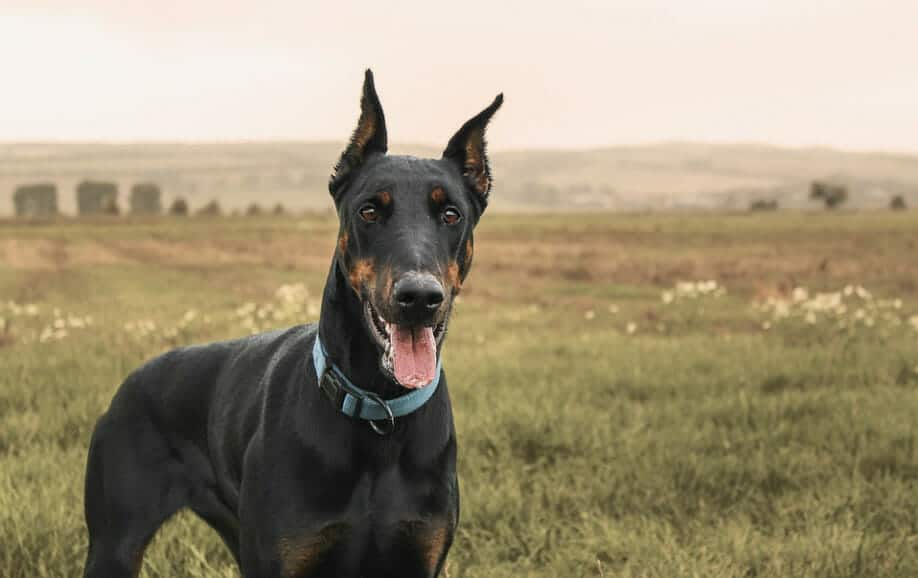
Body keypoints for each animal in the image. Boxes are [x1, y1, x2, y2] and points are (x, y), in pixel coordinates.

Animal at [81, 71, 504, 576]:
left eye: (451, 214)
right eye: (369, 210)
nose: (419, 297)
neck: (379, 414)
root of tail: (131, 382)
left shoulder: (419, 556)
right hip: (115, 543)